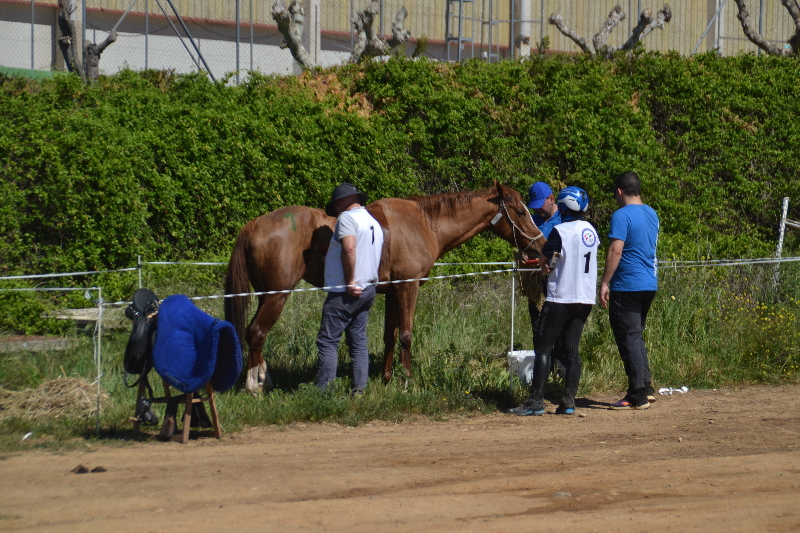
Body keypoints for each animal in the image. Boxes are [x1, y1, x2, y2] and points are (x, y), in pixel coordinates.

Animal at [228, 181, 548, 392]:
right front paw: (406, 381)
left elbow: (389, 337)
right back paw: (254, 386)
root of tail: (254, 224)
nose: (541, 245)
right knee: (256, 332)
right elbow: (406, 335)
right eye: (520, 212)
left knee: (255, 334)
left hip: (265, 296)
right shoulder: (408, 288)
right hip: (276, 296)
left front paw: (387, 379)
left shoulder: (393, 292)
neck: (424, 223)